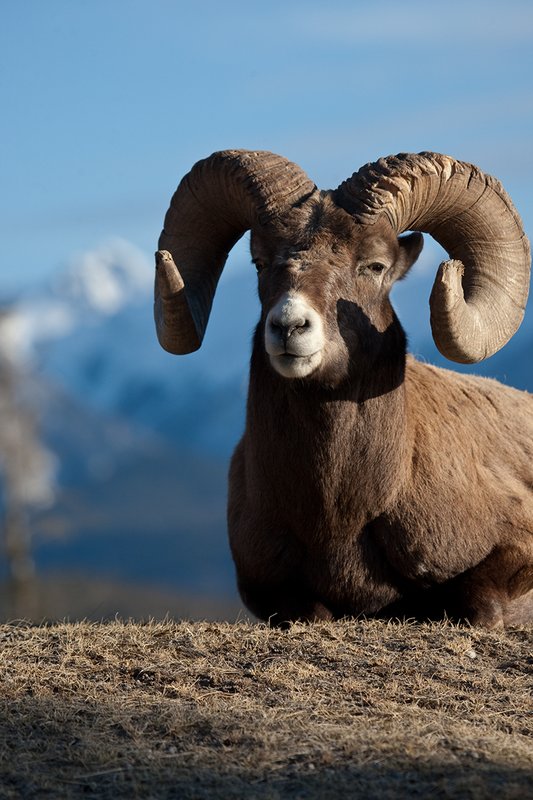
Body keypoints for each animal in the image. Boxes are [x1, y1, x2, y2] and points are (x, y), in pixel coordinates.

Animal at [154, 150, 533, 628]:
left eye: (374, 266)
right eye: (260, 262)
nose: (289, 326)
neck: (338, 518)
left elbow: (476, 604)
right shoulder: (266, 589)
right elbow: (311, 612)